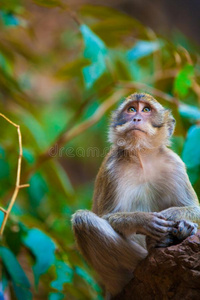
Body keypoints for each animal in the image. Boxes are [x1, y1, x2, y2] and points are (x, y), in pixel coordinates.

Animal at [71, 92, 199, 298]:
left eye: (146, 110)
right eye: (131, 109)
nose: (136, 118)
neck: (142, 157)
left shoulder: (175, 164)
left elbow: (195, 208)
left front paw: (176, 217)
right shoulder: (112, 169)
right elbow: (107, 216)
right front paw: (144, 220)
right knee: (83, 220)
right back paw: (151, 248)